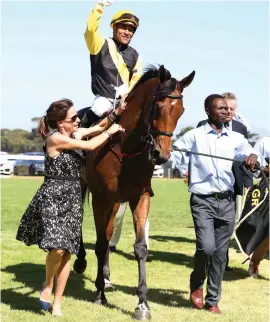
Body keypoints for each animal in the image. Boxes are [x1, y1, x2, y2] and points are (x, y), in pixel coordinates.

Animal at [75, 65, 195, 320]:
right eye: (158, 106)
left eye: (180, 111)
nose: (162, 155)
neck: (125, 147)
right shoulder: (102, 198)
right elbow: (100, 243)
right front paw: (99, 294)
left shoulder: (138, 198)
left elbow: (139, 247)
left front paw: (142, 304)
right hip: (83, 186)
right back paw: (82, 263)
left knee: (109, 233)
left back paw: (106, 277)